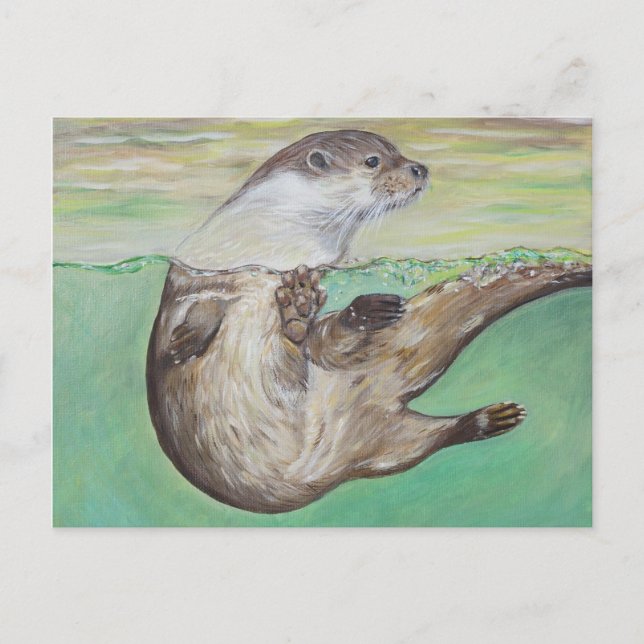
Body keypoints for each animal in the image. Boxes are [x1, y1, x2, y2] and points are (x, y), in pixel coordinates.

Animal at [146, 130, 591, 513]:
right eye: (374, 161)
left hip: (387, 444)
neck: (276, 243)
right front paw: (185, 342)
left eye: (399, 154)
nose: (419, 168)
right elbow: (183, 322)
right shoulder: (194, 275)